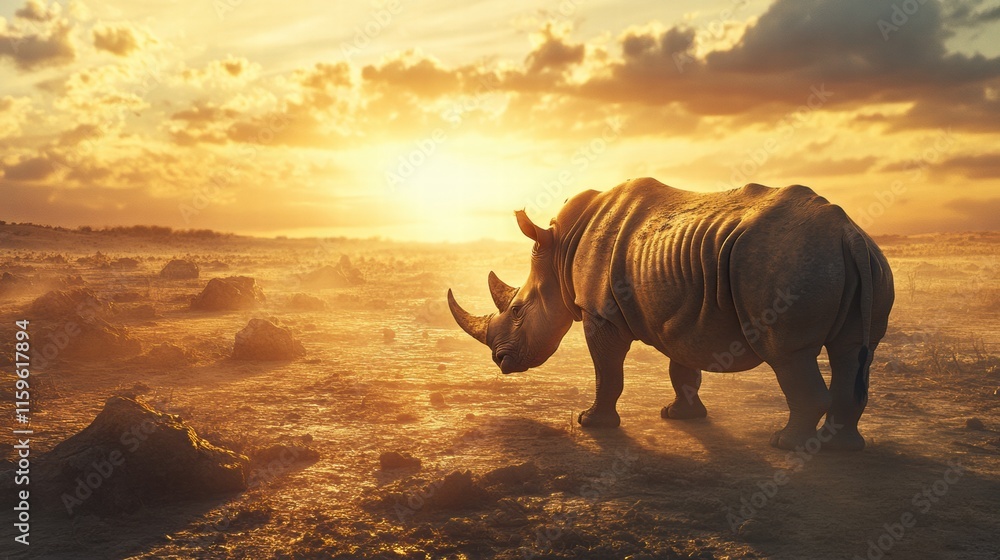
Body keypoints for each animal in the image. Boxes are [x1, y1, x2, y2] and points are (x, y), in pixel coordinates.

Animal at [447, 178, 894, 451]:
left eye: (517, 310)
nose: (500, 361)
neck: (559, 250)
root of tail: (848, 234)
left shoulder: (601, 313)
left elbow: (607, 370)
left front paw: (592, 422)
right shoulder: (684, 311)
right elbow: (682, 366)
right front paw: (680, 417)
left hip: (787, 261)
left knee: (788, 355)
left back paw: (785, 445)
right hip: (864, 260)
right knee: (853, 352)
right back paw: (840, 449)